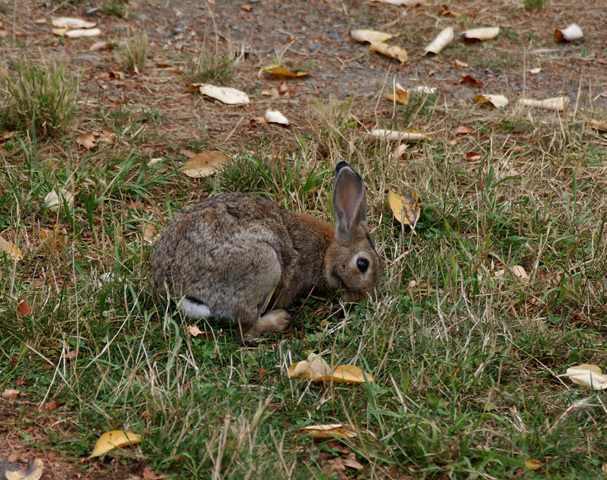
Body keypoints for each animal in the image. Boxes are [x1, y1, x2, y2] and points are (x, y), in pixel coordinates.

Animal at [150, 161, 382, 338]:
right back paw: (279, 319)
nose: (363, 299)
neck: (326, 253)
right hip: (265, 264)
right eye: (362, 264)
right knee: (245, 329)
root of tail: (172, 287)